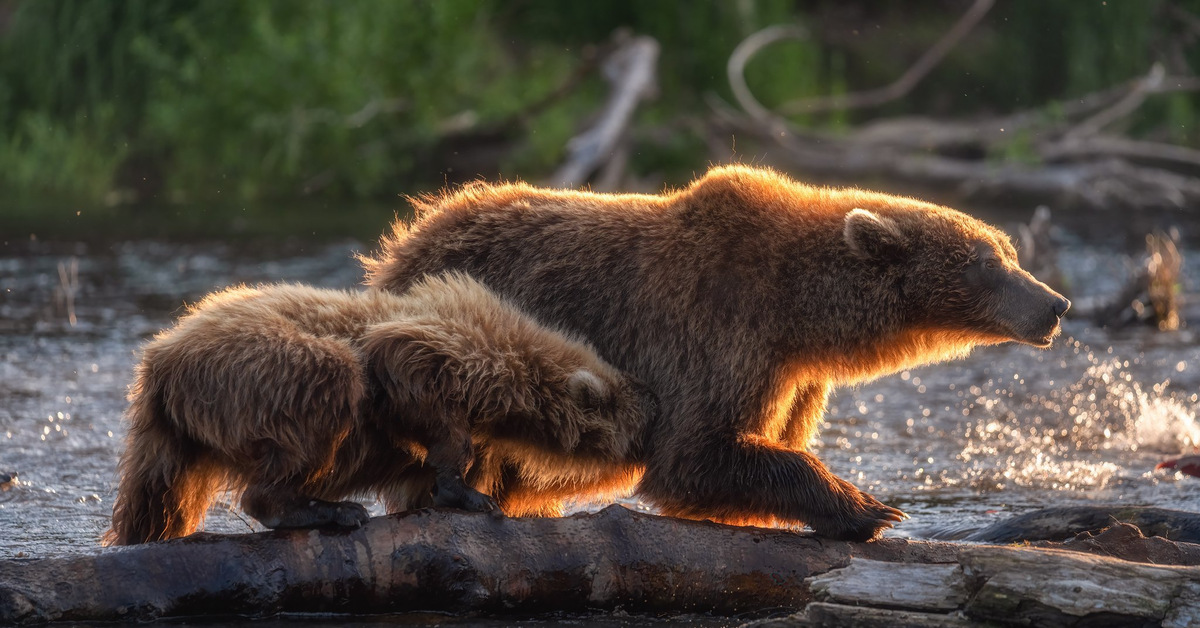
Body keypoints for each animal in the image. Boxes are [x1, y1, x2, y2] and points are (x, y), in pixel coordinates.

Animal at [108, 273, 657, 545]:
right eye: (643, 424)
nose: (653, 438)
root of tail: (162, 354)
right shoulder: (445, 348)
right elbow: (403, 366)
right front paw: (468, 492)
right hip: (259, 368)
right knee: (328, 382)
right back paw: (328, 510)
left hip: (177, 429)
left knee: (157, 495)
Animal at [364, 165, 1070, 540]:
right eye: (986, 262)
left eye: (1007, 250)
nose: (1055, 304)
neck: (801, 315)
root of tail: (404, 243)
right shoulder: (714, 330)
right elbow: (694, 456)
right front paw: (868, 507)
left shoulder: (795, 378)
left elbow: (762, 442)